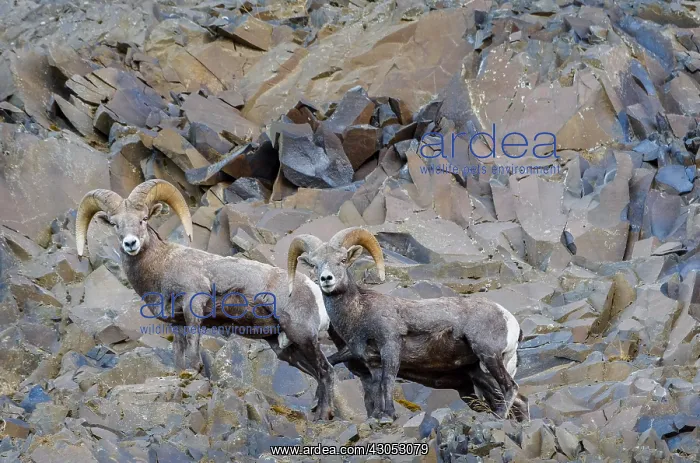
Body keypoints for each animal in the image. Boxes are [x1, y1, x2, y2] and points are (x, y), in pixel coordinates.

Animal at [75, 179, 337, 420]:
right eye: (116, 225)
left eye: (144, 219)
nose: (130, 243)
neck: (162, 265)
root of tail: (312, 289)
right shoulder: (177, 323)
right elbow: (179, 356)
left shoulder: (194, 306)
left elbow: (193, 353)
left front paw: (194, 372)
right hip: (286, 348)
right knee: (317, 373)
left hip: (303, 337)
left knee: (326, 371)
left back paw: (324, 415)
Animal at [287, 227, 529, 423]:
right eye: (315, 265)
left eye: (342, 260)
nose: (326, 279)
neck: (359, 313)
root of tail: (510, 320)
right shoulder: (372, 362)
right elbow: (375, 385)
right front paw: (378, 416)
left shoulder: (391, 347)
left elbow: (388, 382)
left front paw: (388, 416)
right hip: (480, 372)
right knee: (520, 400)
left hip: (489, 355)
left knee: (511, 388)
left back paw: (499, 417)